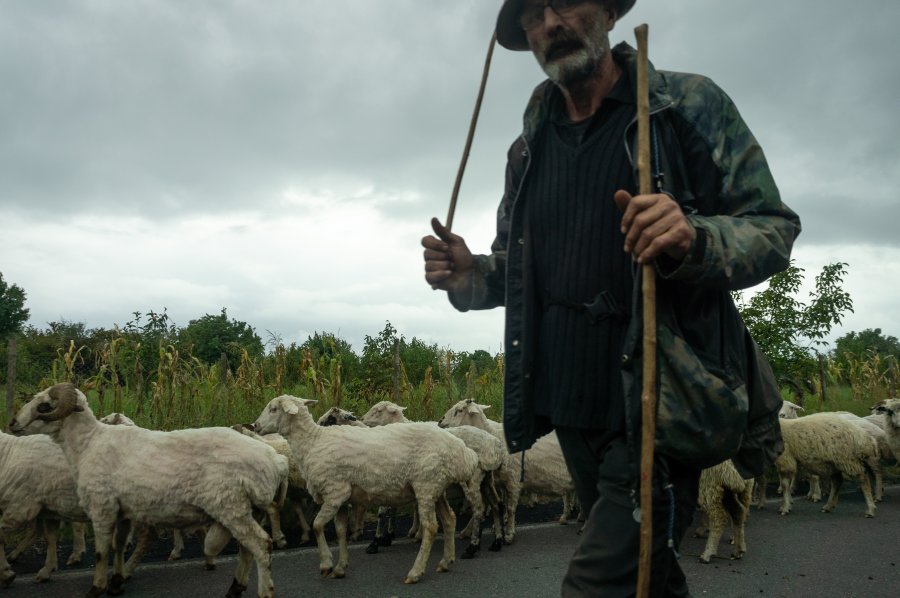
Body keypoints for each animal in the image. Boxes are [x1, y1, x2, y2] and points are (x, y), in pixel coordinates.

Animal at [0, 434, 89, 588]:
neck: (8, 455)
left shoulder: (20, 508)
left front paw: (6, 574)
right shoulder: (49, 509)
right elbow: (50, 537)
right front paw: (47, 570)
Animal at [12, 384, 290, 598]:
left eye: (44, 406)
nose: (13, 423)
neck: (88, 443)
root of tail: (275, 460)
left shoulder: (102, 508)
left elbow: (102, 551)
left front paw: (96, 588)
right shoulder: (122, 511)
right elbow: (118, 546)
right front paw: (116, 583)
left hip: (231, 506)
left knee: (261, 545)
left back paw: (264, 591)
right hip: (250, 509)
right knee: (247, 549)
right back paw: (235, 588)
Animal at [250, 396, 482, 584]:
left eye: (273, 409)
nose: (255, 425)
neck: (312, 442)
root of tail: (462, 451)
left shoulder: (335, 492)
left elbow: (317, 526)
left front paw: (326, 564)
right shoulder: (341, 499)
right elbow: (341, 531)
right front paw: (340, 567)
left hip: (426, 484)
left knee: (432, 528)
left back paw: (416, 572)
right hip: (437, 487)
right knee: (450, 519)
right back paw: (445, 561)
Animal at [438, 400, 576, 548]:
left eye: (459, 410)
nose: (440, 421)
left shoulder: (514, 481)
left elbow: (509, 508)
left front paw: (509, 534)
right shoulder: (499, 482)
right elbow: (498, 504)